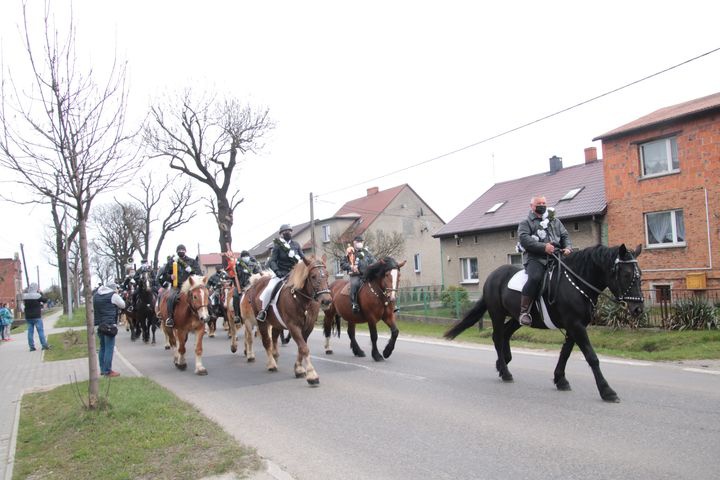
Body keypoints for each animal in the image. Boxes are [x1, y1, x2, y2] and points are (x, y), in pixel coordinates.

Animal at [240, 255, 334, 386]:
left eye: (326, 275)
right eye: (313, 276)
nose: (326, 301)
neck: (301, 300)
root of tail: (257, 282)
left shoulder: (308, 327)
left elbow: (301, 347)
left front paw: (299, 369)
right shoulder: (293, 327)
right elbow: (304, 348)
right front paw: (312, 375)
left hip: (276, 323)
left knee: (274, 338)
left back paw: (275, 356)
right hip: (261, 322)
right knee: (266, 341)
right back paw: (271, 364)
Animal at [444, 244, 640, 402]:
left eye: (639, 275)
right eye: (626, 274)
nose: (638, 308)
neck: (577, 283)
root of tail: (492, 276)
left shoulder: (574, 326)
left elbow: (565, 353)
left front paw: (560, 380)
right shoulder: (575, 325)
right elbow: (592, 357)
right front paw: (607, 391)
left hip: (517, 318)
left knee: (505, 334)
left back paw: (502, 364)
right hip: (497, 314)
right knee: (497, 337)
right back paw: (506, 372)